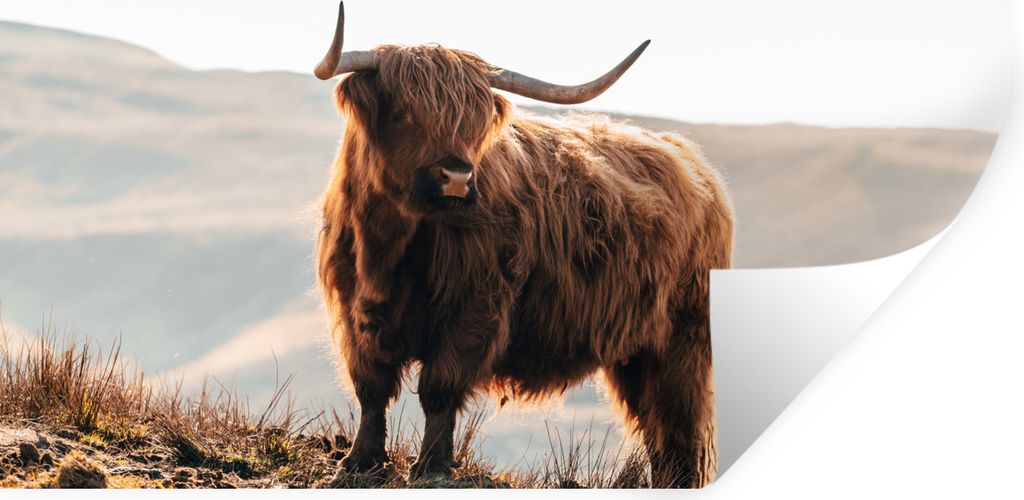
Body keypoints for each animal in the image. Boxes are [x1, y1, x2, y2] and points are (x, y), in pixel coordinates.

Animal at [313, 2, 733, 488]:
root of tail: (691, 161)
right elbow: (371, 387)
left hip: (683, 338)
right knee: (655, 423)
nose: (456, 177)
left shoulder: (474, 309)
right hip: (635, 350)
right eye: (403, 112)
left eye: (474, 123)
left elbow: (439, 389)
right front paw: (359, 461)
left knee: (678, 419)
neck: (389, 247)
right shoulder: (354, 309)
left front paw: (431, 466)